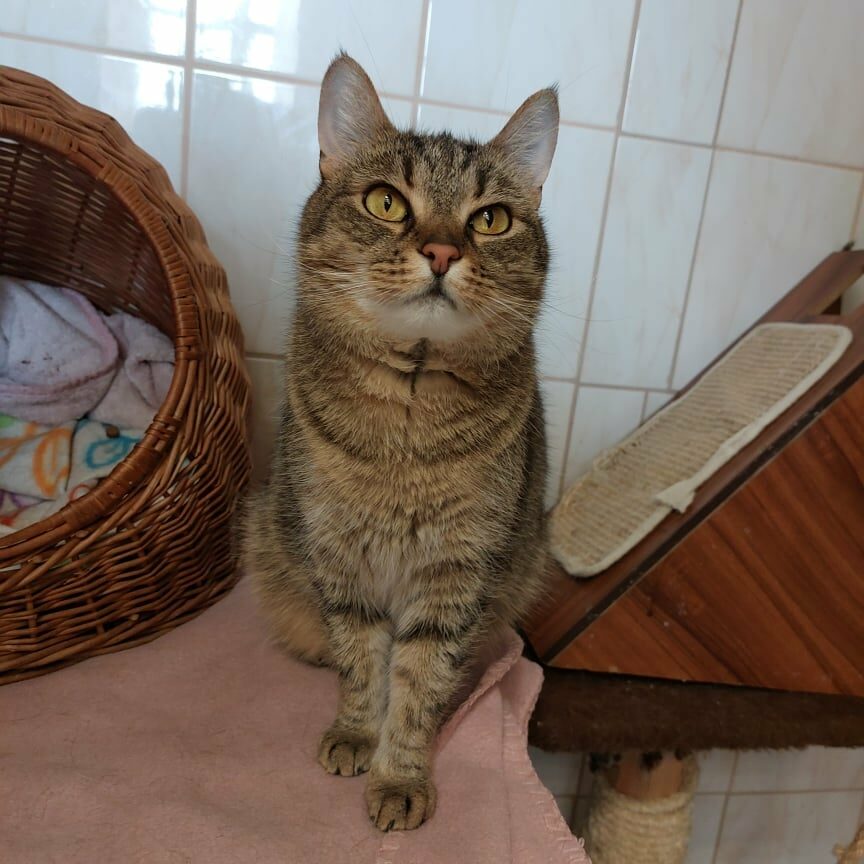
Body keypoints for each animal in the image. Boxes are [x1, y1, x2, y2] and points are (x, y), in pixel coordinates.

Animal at [242, 53, 559, 832]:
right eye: (387, 202)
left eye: (492, 219)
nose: (442, 250)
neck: (408, 423)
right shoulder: (339, 554)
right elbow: (363, 663)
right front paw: (358, 733)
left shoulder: (457, 569)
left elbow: (419, 680)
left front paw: (400, 777)